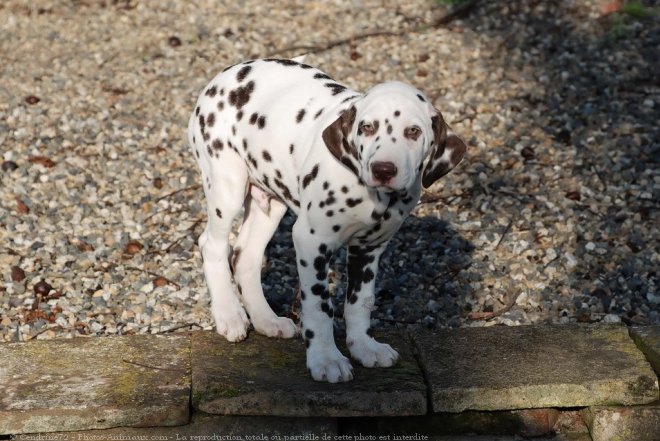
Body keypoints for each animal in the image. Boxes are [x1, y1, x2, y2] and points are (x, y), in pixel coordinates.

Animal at [188, 58, 466, 382]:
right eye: (367, 127)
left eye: (413, 131)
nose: (383, 169)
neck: (374, 196)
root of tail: (230, 71)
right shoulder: (312, 242)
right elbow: (320, 307)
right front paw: (326, 359)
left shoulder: (369, 249)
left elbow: (360, 302)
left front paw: (364, 347)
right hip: (227, 187)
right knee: (212, 246)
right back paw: (229, 314)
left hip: (269, 203)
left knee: (246, 255)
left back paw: (266, 320)